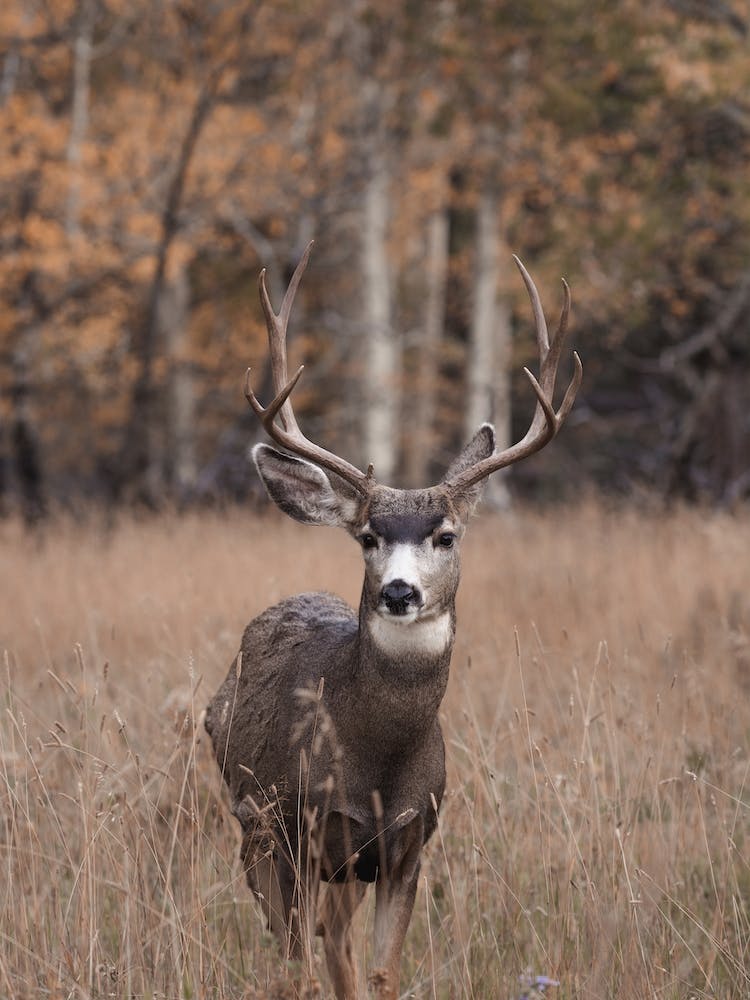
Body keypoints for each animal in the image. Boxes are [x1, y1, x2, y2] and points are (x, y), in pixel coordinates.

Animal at [204, 242, 582, 999]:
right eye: (368, 537)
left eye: (446, 536)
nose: (400, 592)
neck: (374, 764)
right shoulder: (296, 828)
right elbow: (303, 971)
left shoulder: (410, 842)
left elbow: (378, 972)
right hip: (252, 825)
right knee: (292, 943)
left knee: (335, 942)